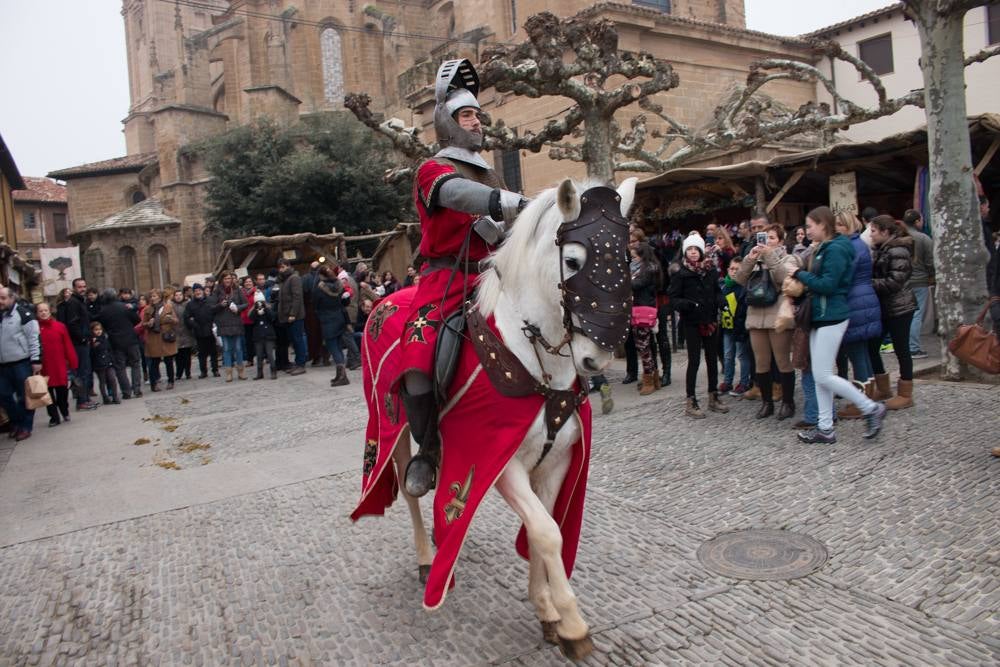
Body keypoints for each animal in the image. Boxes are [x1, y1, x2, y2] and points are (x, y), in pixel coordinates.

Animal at [360, 175, 636, 660]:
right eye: (573, 260)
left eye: (624, 257)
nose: (596, 358)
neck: (535, 362)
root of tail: (383, 300)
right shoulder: (503, 465)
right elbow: (547, 533)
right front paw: (573, 624)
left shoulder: (555, 464)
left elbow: (544, 527)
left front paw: (547, 612)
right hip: (391, 426)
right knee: (409, 490)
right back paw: (427, 557)